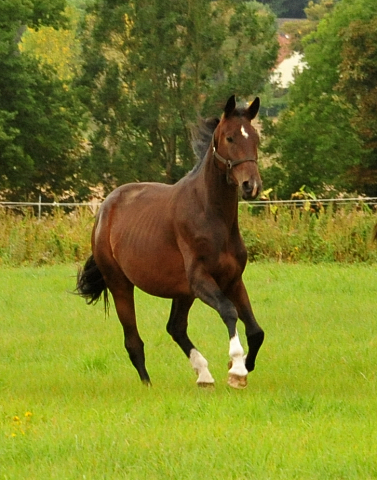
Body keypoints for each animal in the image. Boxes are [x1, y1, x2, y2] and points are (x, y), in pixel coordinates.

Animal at [75, 94, 264, 390]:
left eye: (255, 138)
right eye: (230, 138)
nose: (251, 186)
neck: (212, 216)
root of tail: (104, 209)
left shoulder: (232, 280)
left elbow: (256, 330)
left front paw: (244, 366)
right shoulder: (201, 279)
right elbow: (229, 311)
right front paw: (236, 368)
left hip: (182, 292)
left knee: (175, 327)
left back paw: (203, 374)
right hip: (121, 285)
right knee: (133, 340)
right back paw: (147, 384)